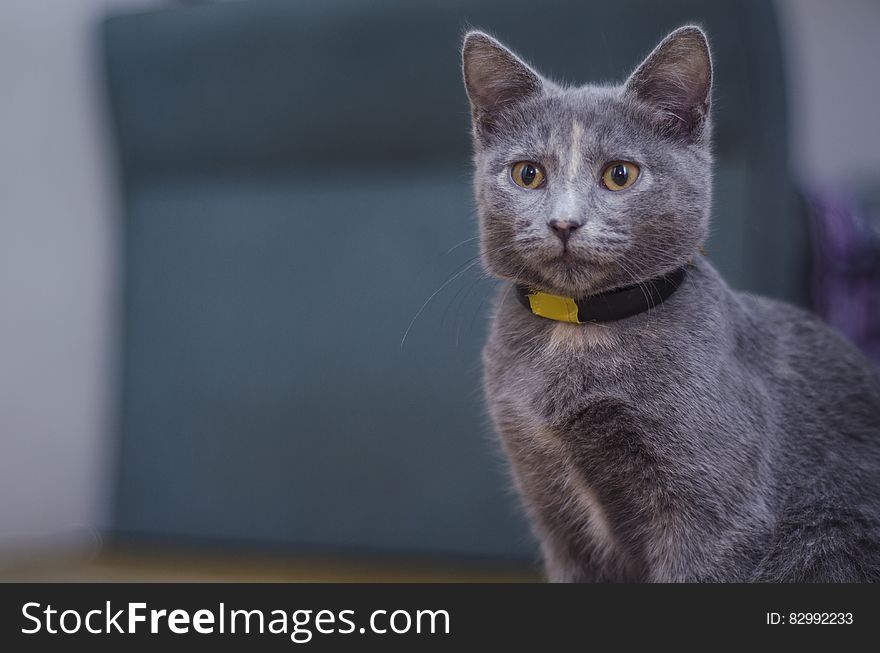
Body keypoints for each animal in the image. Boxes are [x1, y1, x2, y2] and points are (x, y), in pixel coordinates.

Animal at [460, 25, 880, 580]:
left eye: (620, 174)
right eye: (527, 174)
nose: (564, 222)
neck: (580, 331)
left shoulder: (715, 521)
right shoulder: (552, 508)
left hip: (824, 536)